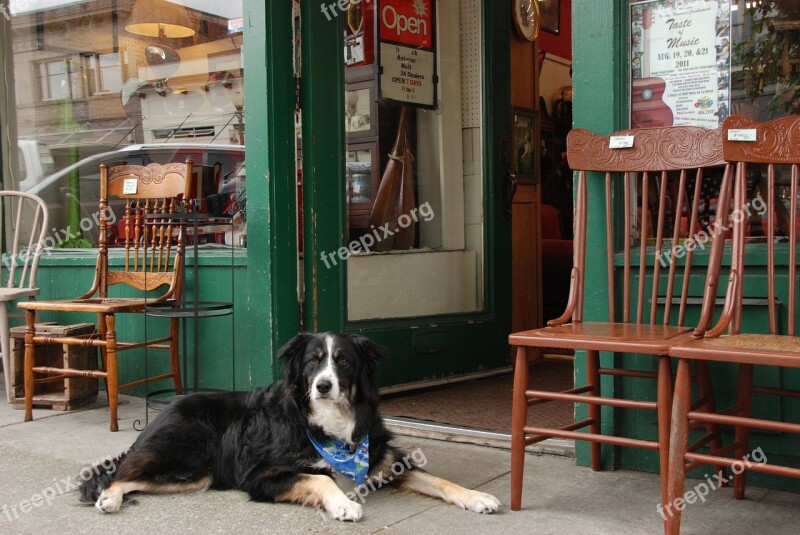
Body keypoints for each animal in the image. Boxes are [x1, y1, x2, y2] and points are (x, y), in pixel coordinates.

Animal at [78, 332, 496, 520]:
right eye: (312, 361)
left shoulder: (383, 458)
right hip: (187, 460)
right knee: (120, 473)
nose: (323, 385)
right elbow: (322, 479)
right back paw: (109, 498)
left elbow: (438, 479)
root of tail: (167, 408)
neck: (330, 423)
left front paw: (477, 497)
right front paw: (344, 504)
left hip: (194, 476)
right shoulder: (262, 476)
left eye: (344, 361)